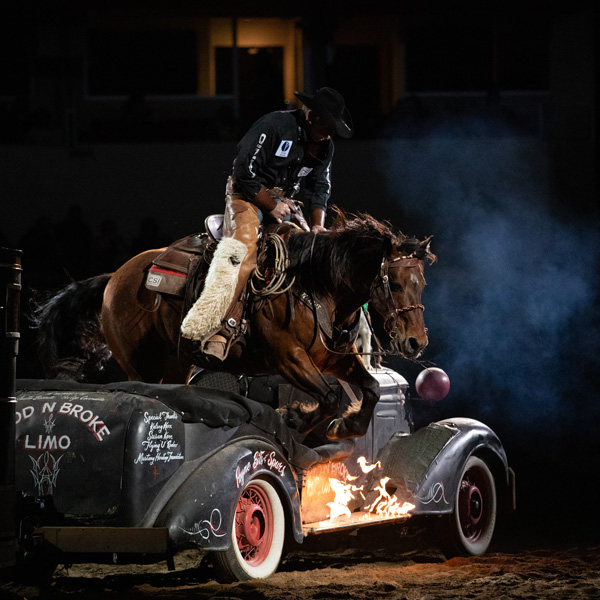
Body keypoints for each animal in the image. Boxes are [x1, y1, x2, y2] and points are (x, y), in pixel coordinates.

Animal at [35, 213, 434, 438]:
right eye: (397, 284)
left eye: (422, 283)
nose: (417, 342)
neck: (314, 286)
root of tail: (113, 279)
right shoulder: (288, 359)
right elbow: (331, 396)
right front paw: (296, 418)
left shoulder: (333, 357)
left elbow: (370, 387)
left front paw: (347, 426)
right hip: (141, 364)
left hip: (177, 363)